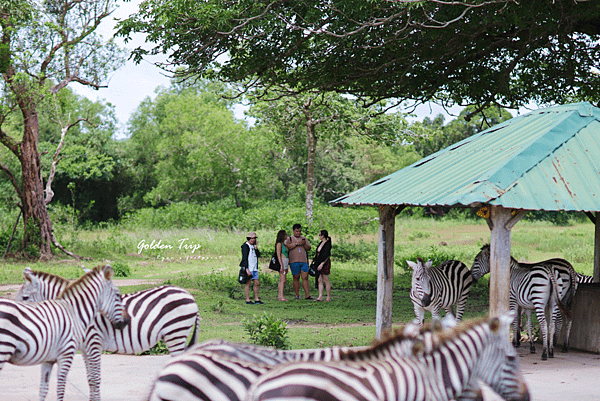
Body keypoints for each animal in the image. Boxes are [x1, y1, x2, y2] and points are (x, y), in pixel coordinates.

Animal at [0, 264, 127, 400]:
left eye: (24, 297)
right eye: (118, 295)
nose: (126, 321)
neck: (74, 312)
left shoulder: (49, 358)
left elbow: (44, 389)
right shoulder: (70, 353)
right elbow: (64, 388)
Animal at [14, 266, 200, 400]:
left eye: (25, 298)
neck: (77, 309)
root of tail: (189, 296)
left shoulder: (94, 343)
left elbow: (96, 380)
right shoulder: (85, 349)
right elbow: (90, 380)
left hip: (176, 334)